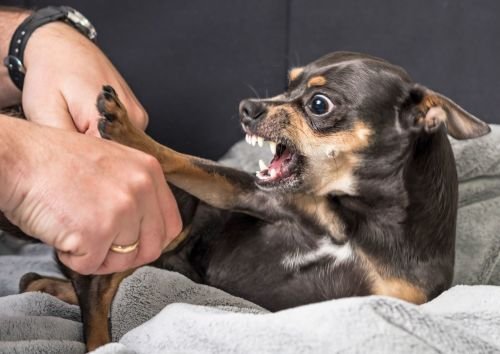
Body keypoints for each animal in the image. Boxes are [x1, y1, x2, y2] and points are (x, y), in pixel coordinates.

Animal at [6, 51, 488, 350]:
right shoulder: (250, 194)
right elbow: (183, 160)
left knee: (87, 287)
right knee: (97, 291)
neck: (355, 219)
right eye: (286, 84)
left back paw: (47, 289)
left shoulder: (390, 300)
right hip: (175, 218)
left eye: (318, 104)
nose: (247, 107)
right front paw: (129, 131)